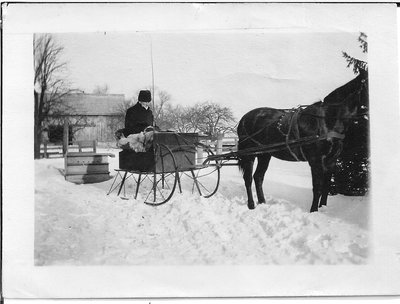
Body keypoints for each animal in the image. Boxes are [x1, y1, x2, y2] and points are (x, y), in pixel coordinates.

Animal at [238, 68, 368, 211]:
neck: (327, 120)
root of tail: (244, 119)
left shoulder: (331, 161)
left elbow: (326, 186)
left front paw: (322, 208)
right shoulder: (316, 161)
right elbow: (317, 187)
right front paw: (314, 210)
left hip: (264, 154)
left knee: (258, 177)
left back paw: (262, 202)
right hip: (250, 154)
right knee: (248, 178)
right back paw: (251, 205)